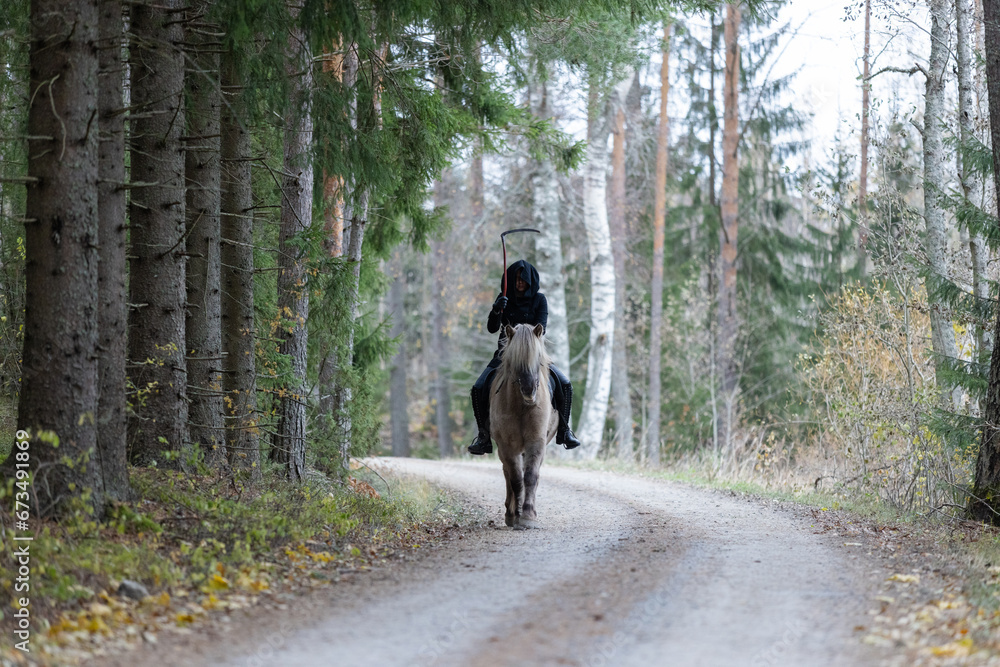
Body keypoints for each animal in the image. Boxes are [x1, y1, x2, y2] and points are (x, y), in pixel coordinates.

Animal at [490, 323, 559, 529]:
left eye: (539, 357)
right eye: (514, 359)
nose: (529, 390)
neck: (522, 406)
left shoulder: (536, 441)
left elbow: (530, 476)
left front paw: (528, 515)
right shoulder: (507, 445)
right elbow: (515, 478)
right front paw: (516, 515)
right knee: (508, 473)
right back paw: (510, 512)